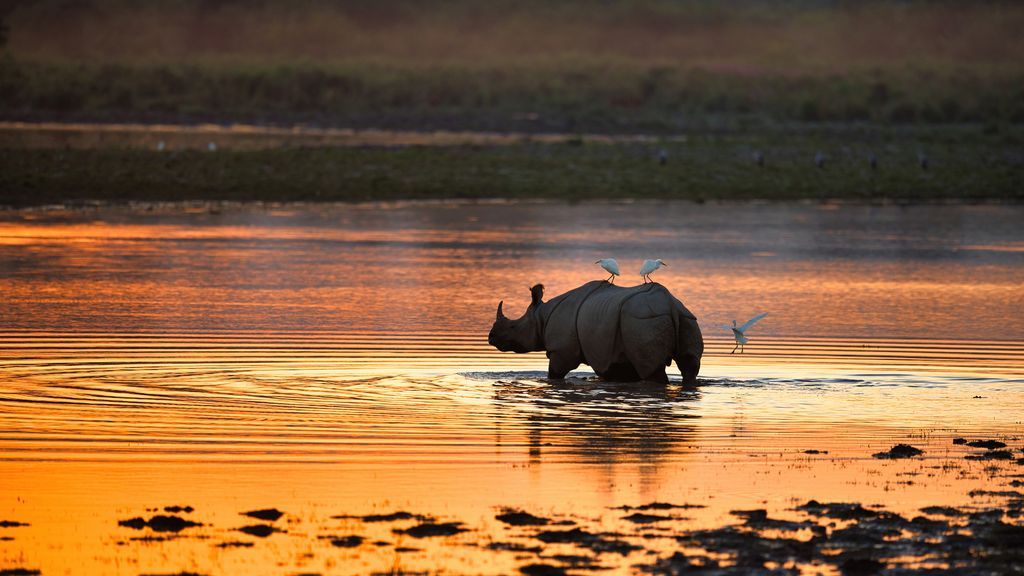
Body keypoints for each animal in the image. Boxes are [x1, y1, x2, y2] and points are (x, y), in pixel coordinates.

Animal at [488, 281, 704, 385]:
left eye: (513, 327)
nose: (491, 338)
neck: (541, 316)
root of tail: (670, 304)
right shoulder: (613, 354)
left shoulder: (561, 351)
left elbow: (554, 374)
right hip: (686, 318)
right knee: (690, 366)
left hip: (643, 320)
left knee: (652, 371)